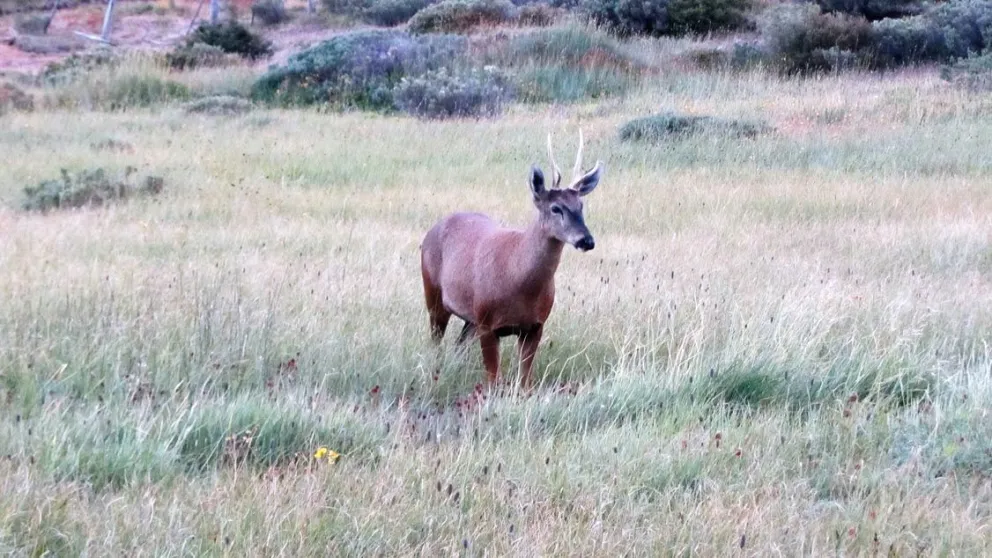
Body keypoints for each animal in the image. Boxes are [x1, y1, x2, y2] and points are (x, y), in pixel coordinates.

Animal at [419, 130, 603, 388]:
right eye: (556, 208)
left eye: (581, 205)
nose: (586, 240)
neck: (518, 281)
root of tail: (432, 230)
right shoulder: (487, 324)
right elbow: (493, 380)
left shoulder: (535, 326)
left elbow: (525, 381)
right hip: (434, 294)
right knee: (435, 342)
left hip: (470, 317)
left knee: (459, 345)